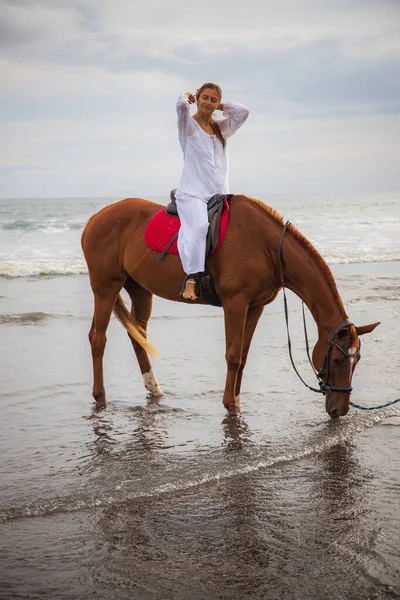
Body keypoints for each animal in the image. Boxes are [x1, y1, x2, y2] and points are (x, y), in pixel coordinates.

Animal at [80, 196, 378, 418]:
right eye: (337, 359)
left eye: (358, 360)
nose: (340, 410)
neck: (267, 247)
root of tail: (94, 219)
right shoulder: (236, 303)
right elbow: (233, 356)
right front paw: (230, 405)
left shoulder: (255, 307)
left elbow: (243, 356)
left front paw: (236, 399)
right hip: (105, 286)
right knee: (97, 338)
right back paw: (100, 397)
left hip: (140, 289)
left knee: (137, 336)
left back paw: (154, 389)